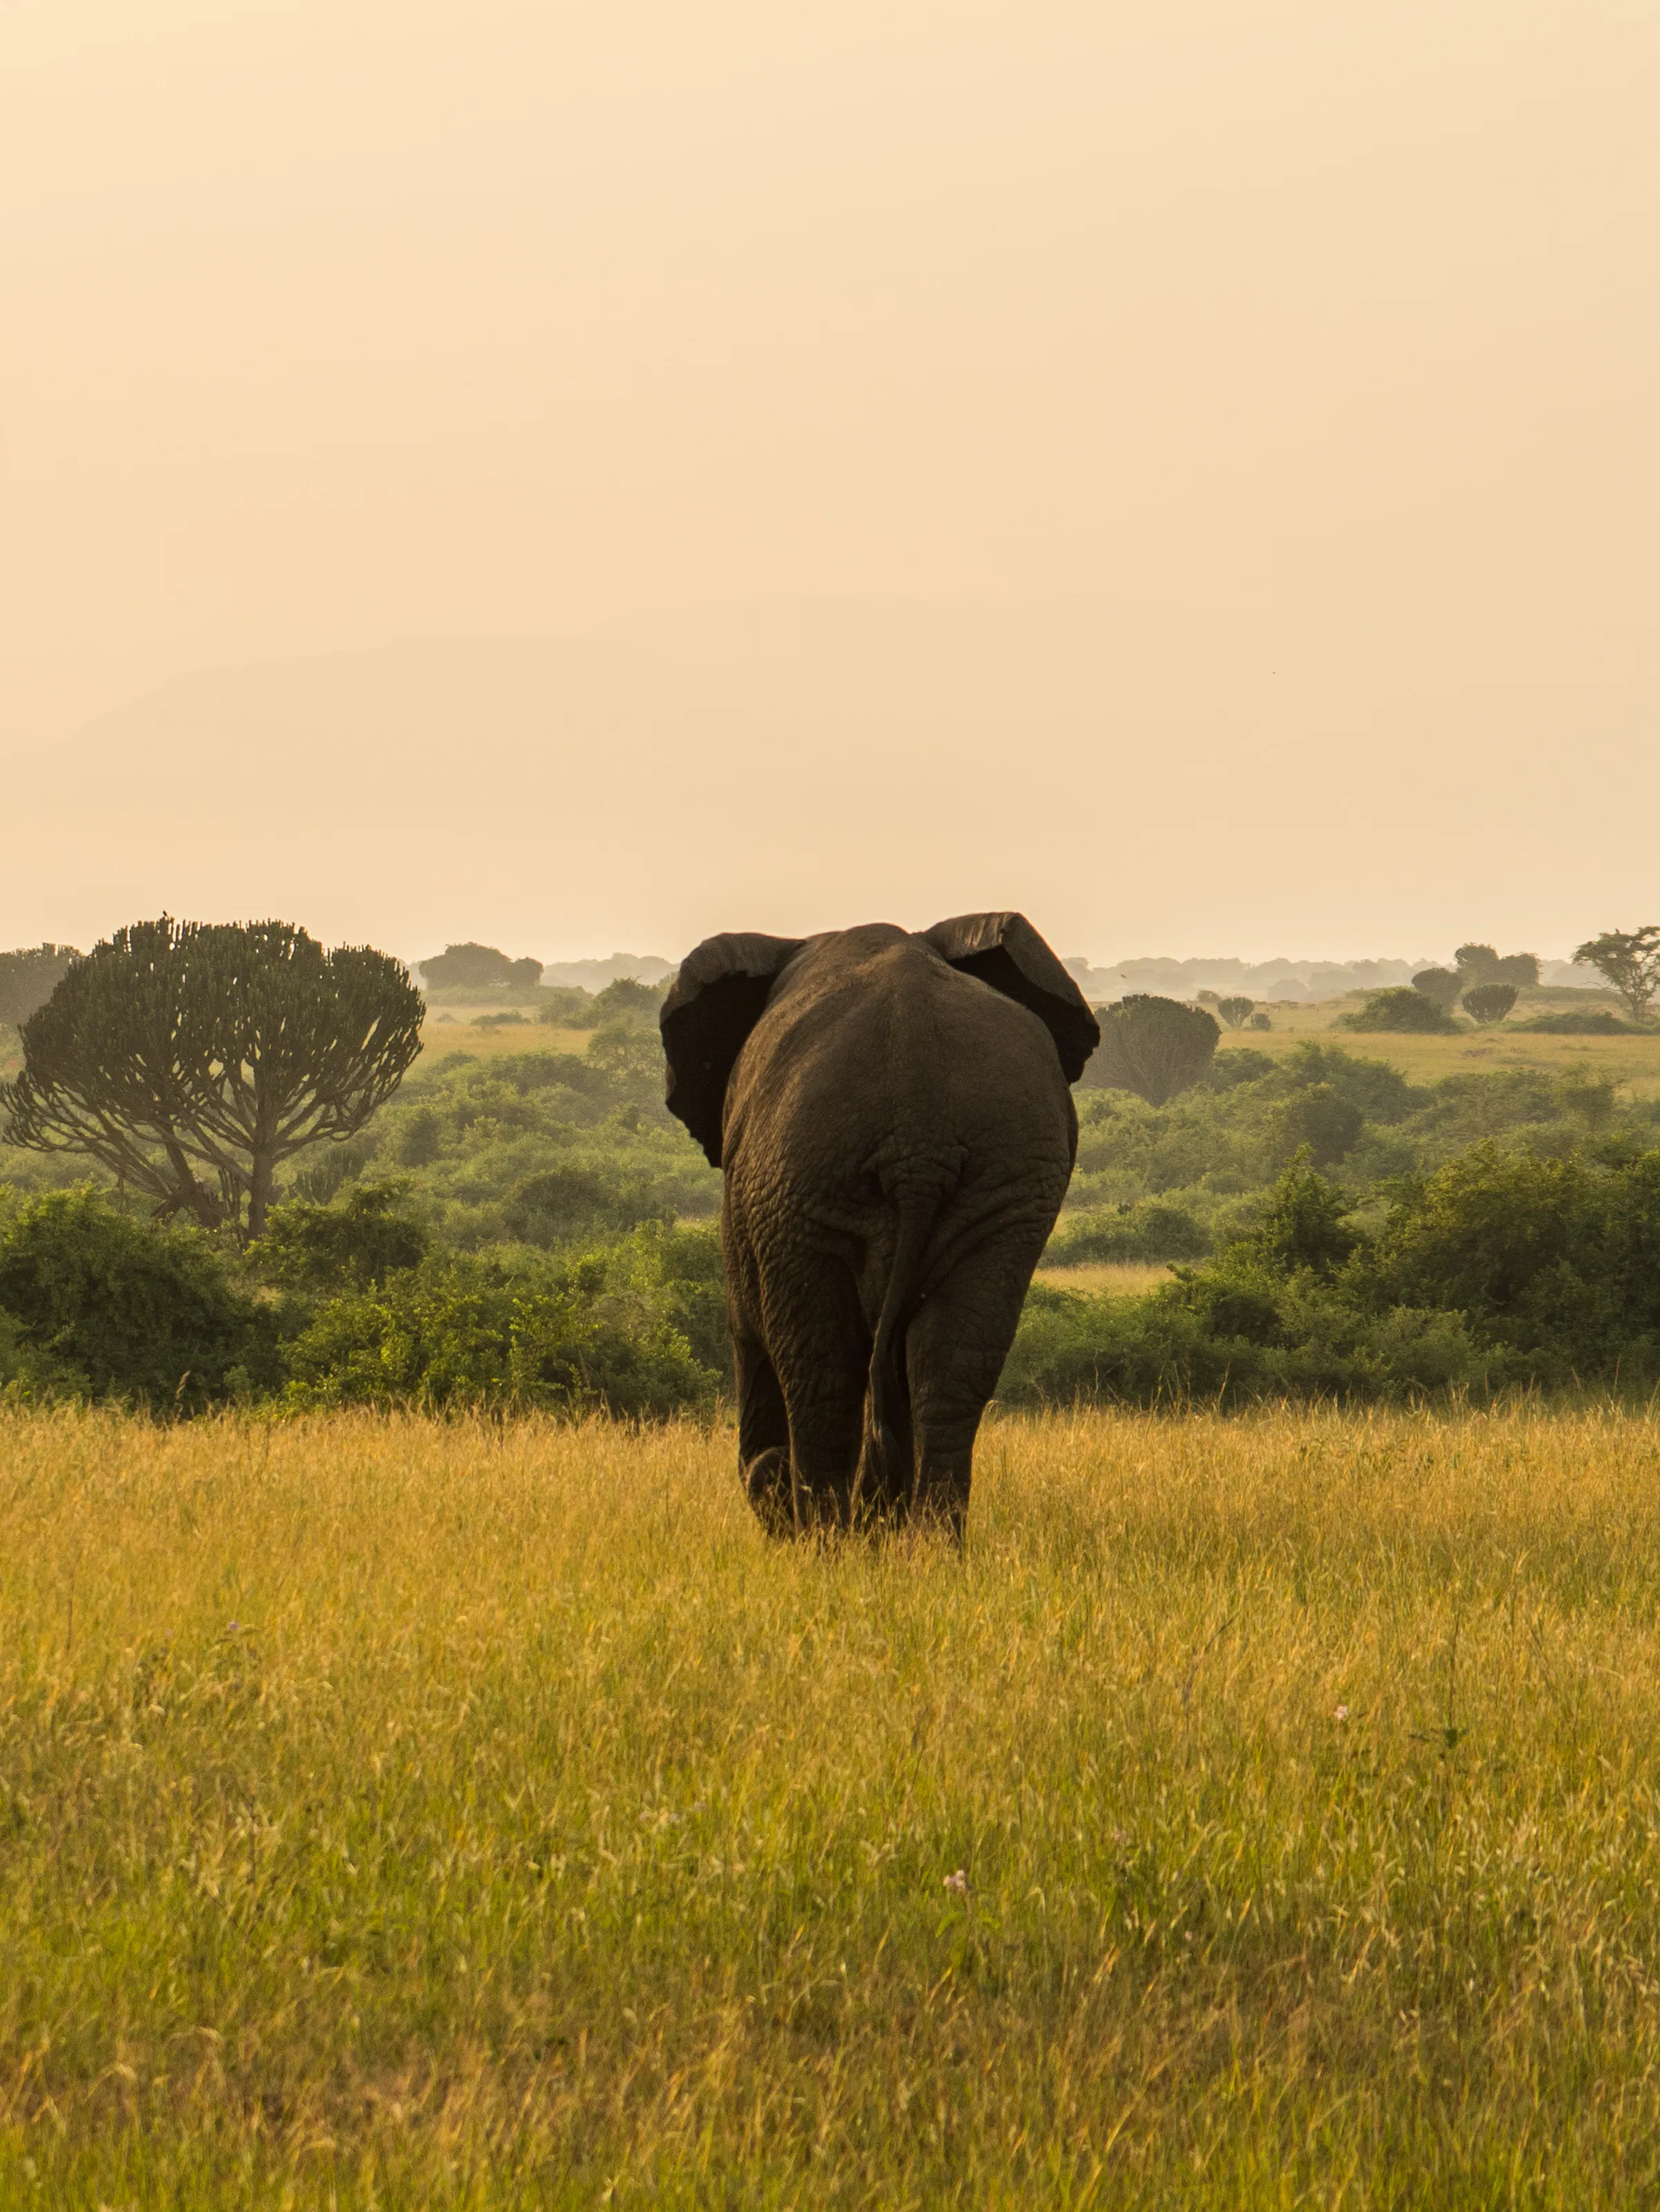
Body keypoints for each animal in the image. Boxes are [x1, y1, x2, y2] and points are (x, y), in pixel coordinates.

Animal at [660, 913, 1099, 1539]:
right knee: (952, 1365)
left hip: (800, 1178)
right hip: (1008, 1177)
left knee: (822, 1372)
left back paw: (825, 1544)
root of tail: (919, 1140)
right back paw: (928, 1547)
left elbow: (746, 1330)